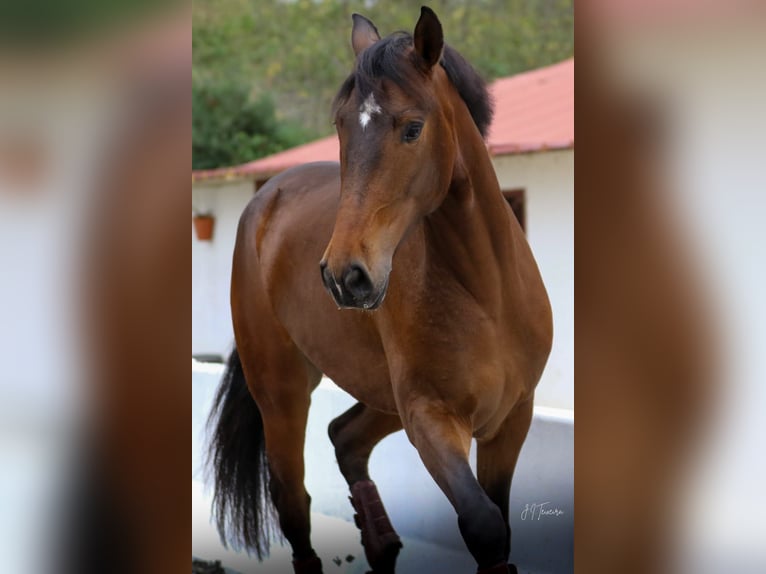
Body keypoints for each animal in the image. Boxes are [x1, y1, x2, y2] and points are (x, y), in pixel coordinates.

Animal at [210, 5, 552, 574]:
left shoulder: (511, 422)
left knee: (345, 440)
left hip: (381, 401)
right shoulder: (431, 420)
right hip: (283, 395)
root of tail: (264, 201)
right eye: (341, 126)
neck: (486, 294)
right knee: (294, 504)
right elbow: (484, 525)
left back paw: (382, 543)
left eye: (412, 128)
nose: (344, 275)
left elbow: (498, 528)